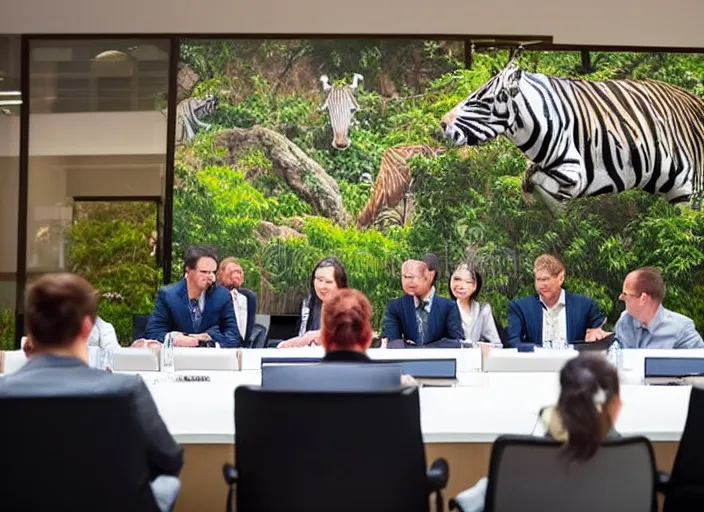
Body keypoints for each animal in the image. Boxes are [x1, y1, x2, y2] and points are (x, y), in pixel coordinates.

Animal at [440, 46, 704, 210]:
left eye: (479, 101)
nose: (441, 124)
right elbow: (531, 180)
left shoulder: (577, 173)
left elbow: (542, 185)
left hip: (686, 191)